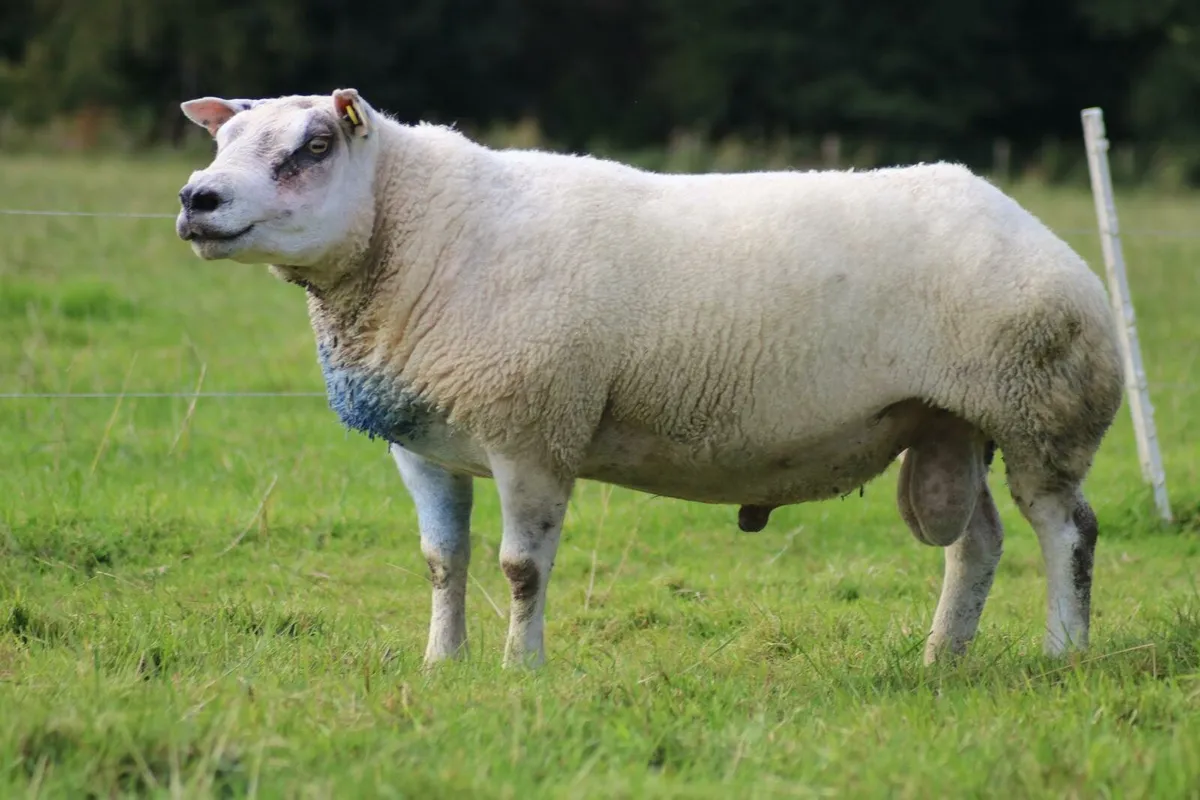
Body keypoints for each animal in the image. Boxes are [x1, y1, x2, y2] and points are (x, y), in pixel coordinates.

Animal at [175, 88, 1125, 670]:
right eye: (221, 141)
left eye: (313, 146)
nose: (196, 200)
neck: (426, 239)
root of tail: (1030, 224)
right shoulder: (426, 443)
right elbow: (444, 563)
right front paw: (443, 664)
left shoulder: (533, 429)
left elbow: (520, 568)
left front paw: (522, 669)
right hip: (950, 419)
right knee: (978, 543)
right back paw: (942, 656)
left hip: (1040, 410)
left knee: (1066, 532)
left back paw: (1063, 651)